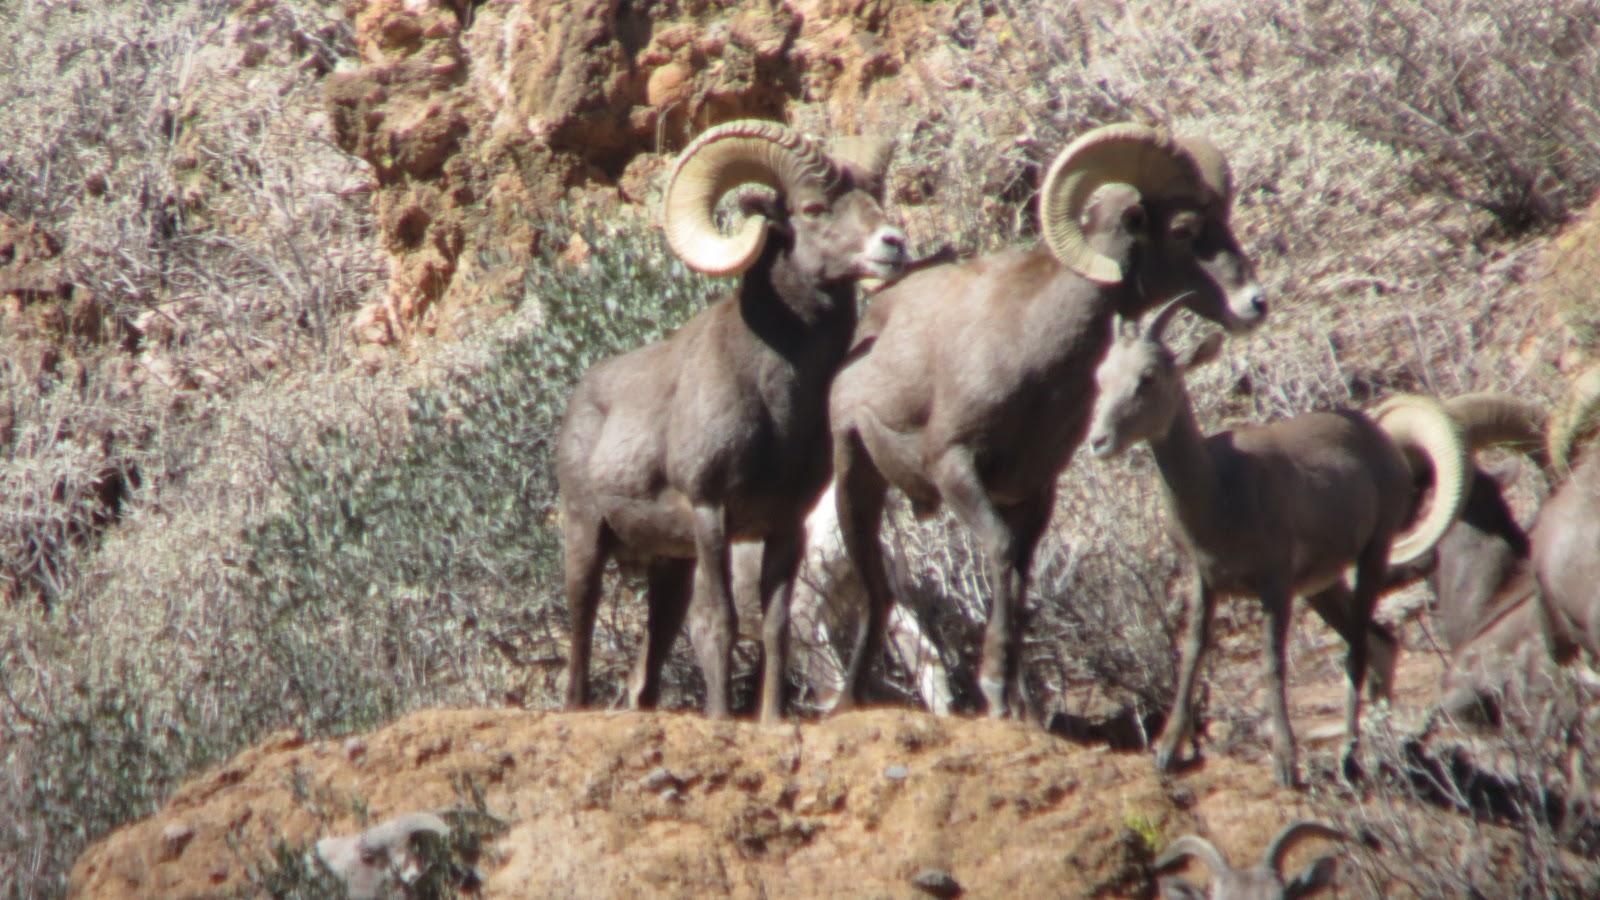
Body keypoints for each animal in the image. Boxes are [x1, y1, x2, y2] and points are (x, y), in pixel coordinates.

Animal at [557, 119, 910, 723]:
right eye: (814, 209)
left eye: (875, 198)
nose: (893, 245)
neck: (776, 399)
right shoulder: (710, 512)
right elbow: (718, 624)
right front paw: (722, 718)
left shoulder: (785, 526)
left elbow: (774, 628)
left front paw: (769, 720)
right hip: (586, 541)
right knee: (580, 638)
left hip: (668, 570)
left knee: (647, 672)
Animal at [827, 123, 1269, 719]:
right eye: (1183, 229)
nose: (1254, 304)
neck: (1033, 350)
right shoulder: (955, 468)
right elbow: (999, 553)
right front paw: (995, 689)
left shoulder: (1035, 493)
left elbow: (1020, 579)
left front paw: (1019, 704)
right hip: (855, 482)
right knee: (874, 594)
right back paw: (846, 701)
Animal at [1084, 299, 1469, 786]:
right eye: (1102, 377)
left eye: (1147, 377)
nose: (1099, 442)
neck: (1220, 490)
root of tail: (1385, 446)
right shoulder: (1204, 582)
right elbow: (1192, 653)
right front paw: (1168, 752)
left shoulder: (1275, 586)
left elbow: (1273, 663)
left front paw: (1286, 764)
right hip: (1323, 588)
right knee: (1381, 643)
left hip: (1372, 556)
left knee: (1358, 651)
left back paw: (1351, 759)